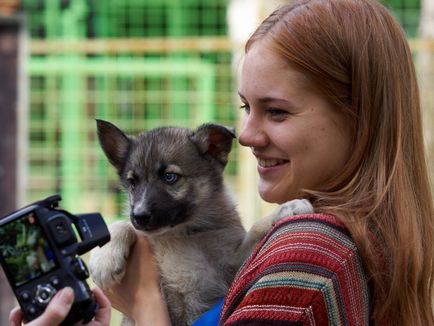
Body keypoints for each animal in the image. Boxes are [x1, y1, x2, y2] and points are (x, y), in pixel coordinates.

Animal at [89, 120, 312, 326]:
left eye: (170, 177)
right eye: (132, 182)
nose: (139, 216)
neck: (180, 234)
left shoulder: (234, 263)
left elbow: (256, 229)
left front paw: (289, 206)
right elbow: (121, 225)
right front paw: (104, 260)